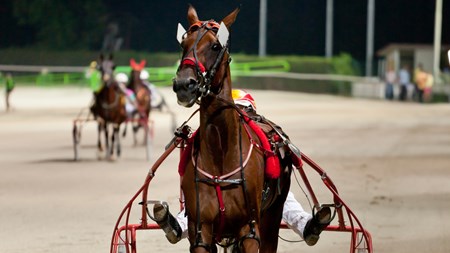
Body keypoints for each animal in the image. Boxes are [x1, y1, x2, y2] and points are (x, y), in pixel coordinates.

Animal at [171, 5, 292, 253]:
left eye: (215, 46)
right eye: (183, 44)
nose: (184, 85)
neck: (220, 154)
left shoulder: (249, 229)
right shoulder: (201, 229)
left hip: (273, 214)